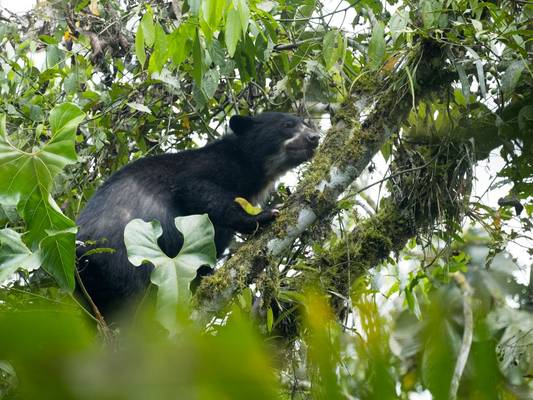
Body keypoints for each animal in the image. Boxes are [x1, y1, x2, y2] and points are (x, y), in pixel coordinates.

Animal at [75, 112, 320, 318]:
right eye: (286, 124)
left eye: (307, 123)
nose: (315, 137)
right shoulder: (207, 169)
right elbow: (196, 190)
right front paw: (262, 216)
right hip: (123, 260)